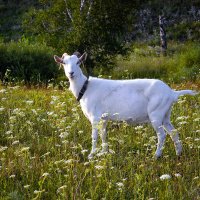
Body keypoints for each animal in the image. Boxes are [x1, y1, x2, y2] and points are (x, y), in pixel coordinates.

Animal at [54, 52, 196, 159]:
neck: (85, 88)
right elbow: (103, 135)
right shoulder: (103, 119)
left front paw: (91, 155)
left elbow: (94, 136)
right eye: (64, 62)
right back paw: (178, 153)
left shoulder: (95, 117)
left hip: (156, 113)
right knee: (173, 132)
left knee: (162, 135)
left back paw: (156, 156)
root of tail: (171, 93)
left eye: (78, 62)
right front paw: (104, 153)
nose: (71, 73)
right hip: (165, 115)